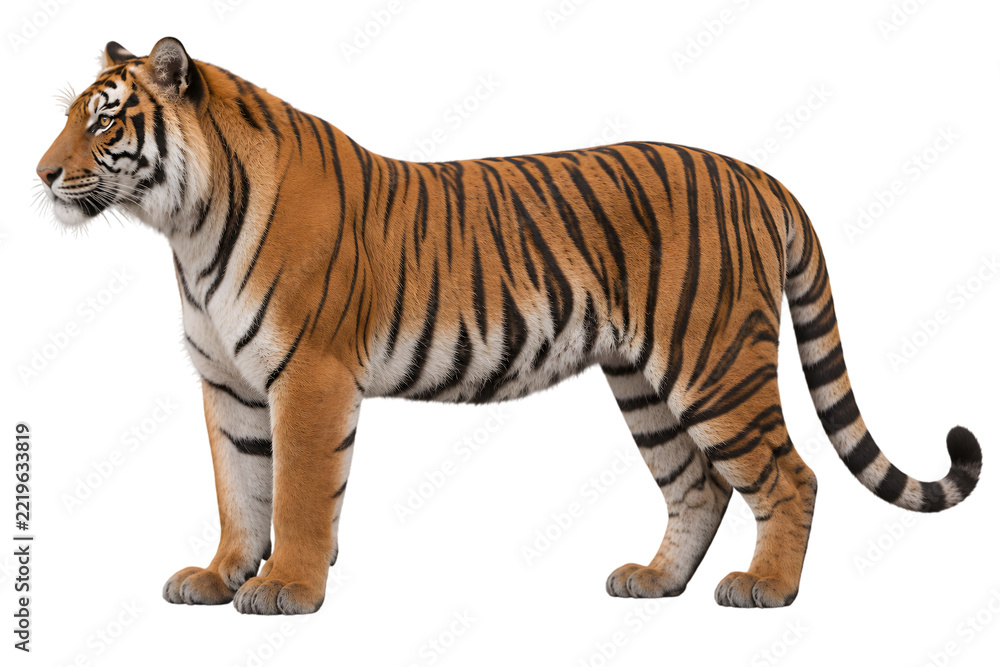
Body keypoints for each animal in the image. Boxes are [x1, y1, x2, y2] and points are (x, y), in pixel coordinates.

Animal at [37, 37, 981, 615]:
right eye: (73, 115)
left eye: (106, 117)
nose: (42, 173)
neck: (186, 229)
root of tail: (758, 175)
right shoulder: (228, 385)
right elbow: (239, 487)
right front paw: (219, 575)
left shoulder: (309, 376)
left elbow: (301, 492)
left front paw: (288, 587)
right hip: (644, 383)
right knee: (697, 485)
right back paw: (654, 580)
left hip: (715, 364)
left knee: (792, 475)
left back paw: (766, 588)